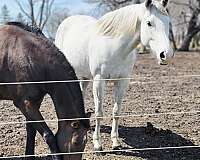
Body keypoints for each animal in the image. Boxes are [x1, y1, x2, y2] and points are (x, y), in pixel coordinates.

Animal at [0, 22, 90, 160]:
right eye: (76, 142)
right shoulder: (24, 103)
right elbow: (49, 135)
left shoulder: (35, 101)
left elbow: (31, 130)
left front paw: (29, 156)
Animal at [54, 0, 173, 151]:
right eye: (149, 23)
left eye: (168, 21)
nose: (166, 54)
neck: (115, 47)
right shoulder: (100, 80)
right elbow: (99, 113)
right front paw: (97, 143)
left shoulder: (122, 81)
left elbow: (116, 111)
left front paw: (115, 141)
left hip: (84, 77)